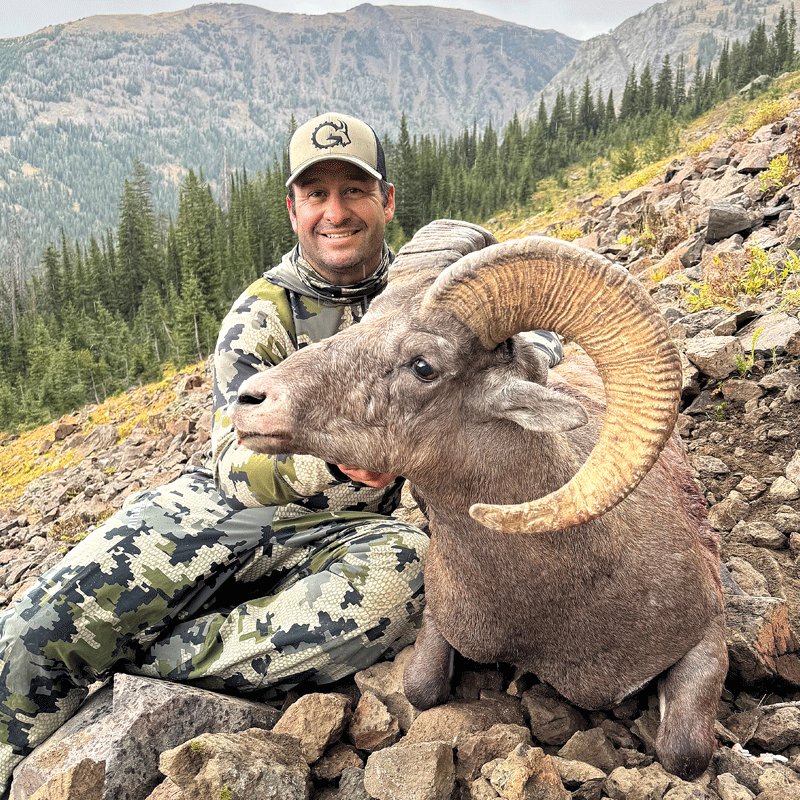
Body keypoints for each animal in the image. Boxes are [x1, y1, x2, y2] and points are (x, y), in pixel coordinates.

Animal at [231, 219, 728, 780]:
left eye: (423, 366)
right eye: (367, 318)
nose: (250, 400)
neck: (559, 600)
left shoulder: (706, 634)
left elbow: (684, 752)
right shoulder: (441, 623)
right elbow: (420, 688)